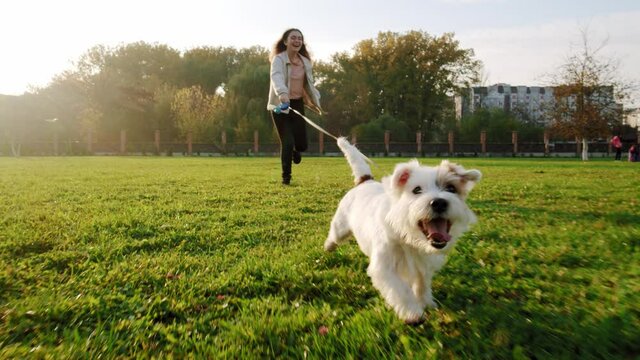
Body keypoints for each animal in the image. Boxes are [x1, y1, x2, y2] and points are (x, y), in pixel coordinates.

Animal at [324, 138, 480, 324]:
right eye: (417, 190)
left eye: (451, 188)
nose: (439, 202)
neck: (409, 235)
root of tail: (366, 180)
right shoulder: (385, 267)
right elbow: (401, 291)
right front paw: (412, 312)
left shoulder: (423, 264)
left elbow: (422, 284)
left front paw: (426, 302)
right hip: (340, 227)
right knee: (334, 236)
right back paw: (328, 246)